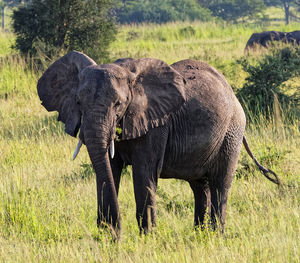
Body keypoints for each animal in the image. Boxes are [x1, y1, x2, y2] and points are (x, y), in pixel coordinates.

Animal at [37, 51, 278, 237]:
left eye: (118, 104)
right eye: (78, 102)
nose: (116, 231)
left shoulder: (155, 125)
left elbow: (144, 173)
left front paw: (147, 237)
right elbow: (109, 170)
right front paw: (107, 236)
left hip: (232, 133)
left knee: (221, 184)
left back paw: (215, 236)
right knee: (200, 186)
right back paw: (200, 235)